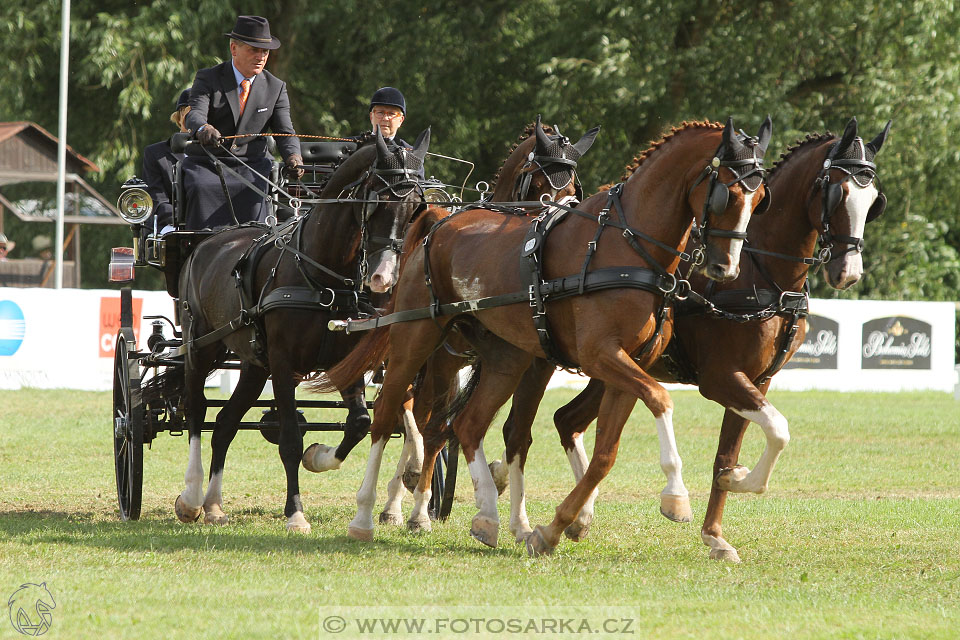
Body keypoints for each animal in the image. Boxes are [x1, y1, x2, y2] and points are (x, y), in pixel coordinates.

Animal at [172, 129, 428, 528]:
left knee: (226, 424)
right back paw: (192, 497)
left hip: (253, 365)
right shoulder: (283, 364)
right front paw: (295, 512)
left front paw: (319, 456)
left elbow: (359, 422)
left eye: (417, 204)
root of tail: (209, 241)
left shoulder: (344, 360)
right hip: (201, 347)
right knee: (197, 412)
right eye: (377, 200)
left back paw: (214, 505)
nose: (384, 278)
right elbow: (290, 438)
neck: (321, 274)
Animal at [322, 119, 772, 556]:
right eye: (727, 193)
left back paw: (488, 518)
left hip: (506, 359)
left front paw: (557, 525)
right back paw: (368, 516)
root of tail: (439, 221)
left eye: (760, 198)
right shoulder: (600, 355)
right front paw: (676, 496)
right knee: (391, 416)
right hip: (417, 340)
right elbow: (661, 399)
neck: (626, 247)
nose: (725, 267)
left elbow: (604, 453)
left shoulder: (628, 365)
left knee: (468, 424)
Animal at [502, 119, 892, 560]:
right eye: (837, 193)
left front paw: (716, 532)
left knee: (567, 420)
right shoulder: (720, 378)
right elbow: (778, 429)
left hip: (610, 369)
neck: (761, 273)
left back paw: (575, 516)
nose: (848, 272)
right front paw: (735, 483)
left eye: (874, 201)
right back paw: (521, 519)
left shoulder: (758, 380)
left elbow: (730, 451)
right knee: (517, 432)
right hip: (544, 360)